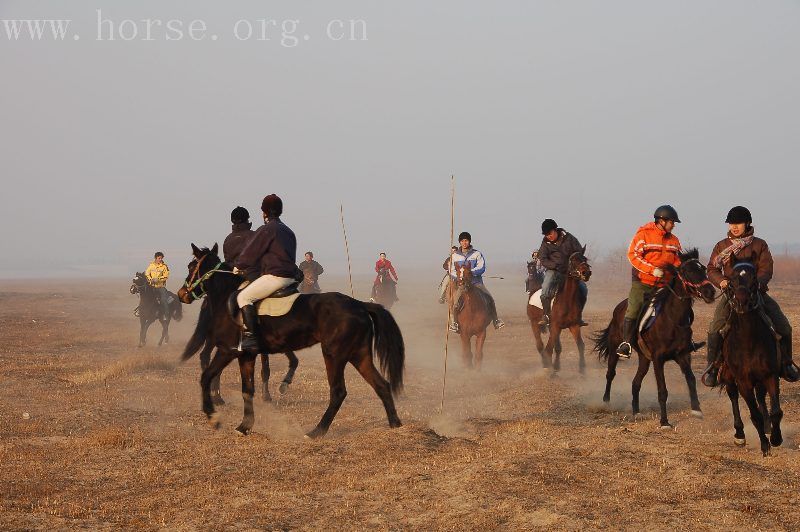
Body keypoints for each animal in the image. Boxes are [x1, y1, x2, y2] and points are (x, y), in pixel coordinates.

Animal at [180, 243, 406, 438]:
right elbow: (247, 390)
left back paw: (316, 432)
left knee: (338, 392)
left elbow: (206, 377)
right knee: (381, 385)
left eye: (192, 267)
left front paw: (213, 417)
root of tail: (359, 305)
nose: (182, 294)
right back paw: (395, 424)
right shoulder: (246, 356)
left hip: (334, 355)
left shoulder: (228, 350)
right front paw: (245, 426)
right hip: (359, 355)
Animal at [592, 249, 720, 428]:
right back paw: (606, 402)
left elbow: (691, 380)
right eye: (688, 271)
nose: (710, 292)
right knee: (610, 373)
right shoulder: (658, 359)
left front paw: (697, 410)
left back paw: (636, 412)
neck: (672, 320)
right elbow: (662, 390)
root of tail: (619, 307)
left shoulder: (682, 356)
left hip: (644, 359)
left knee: (636, 383)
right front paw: (664, 421)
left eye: (703, 269)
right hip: (614, 350)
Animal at [716, 256, 784, 456]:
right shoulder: (743, 382)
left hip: (759, 380)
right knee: (733, 397)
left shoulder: (770, 376)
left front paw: (775, 439)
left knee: (761, 397)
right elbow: (754, 415)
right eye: (731, 280)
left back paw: (768, 427)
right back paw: (739, 434)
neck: (749, 341)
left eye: (754, 279)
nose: (741, 302)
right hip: (729, 377)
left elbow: (776, 411)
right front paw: (764, 445)